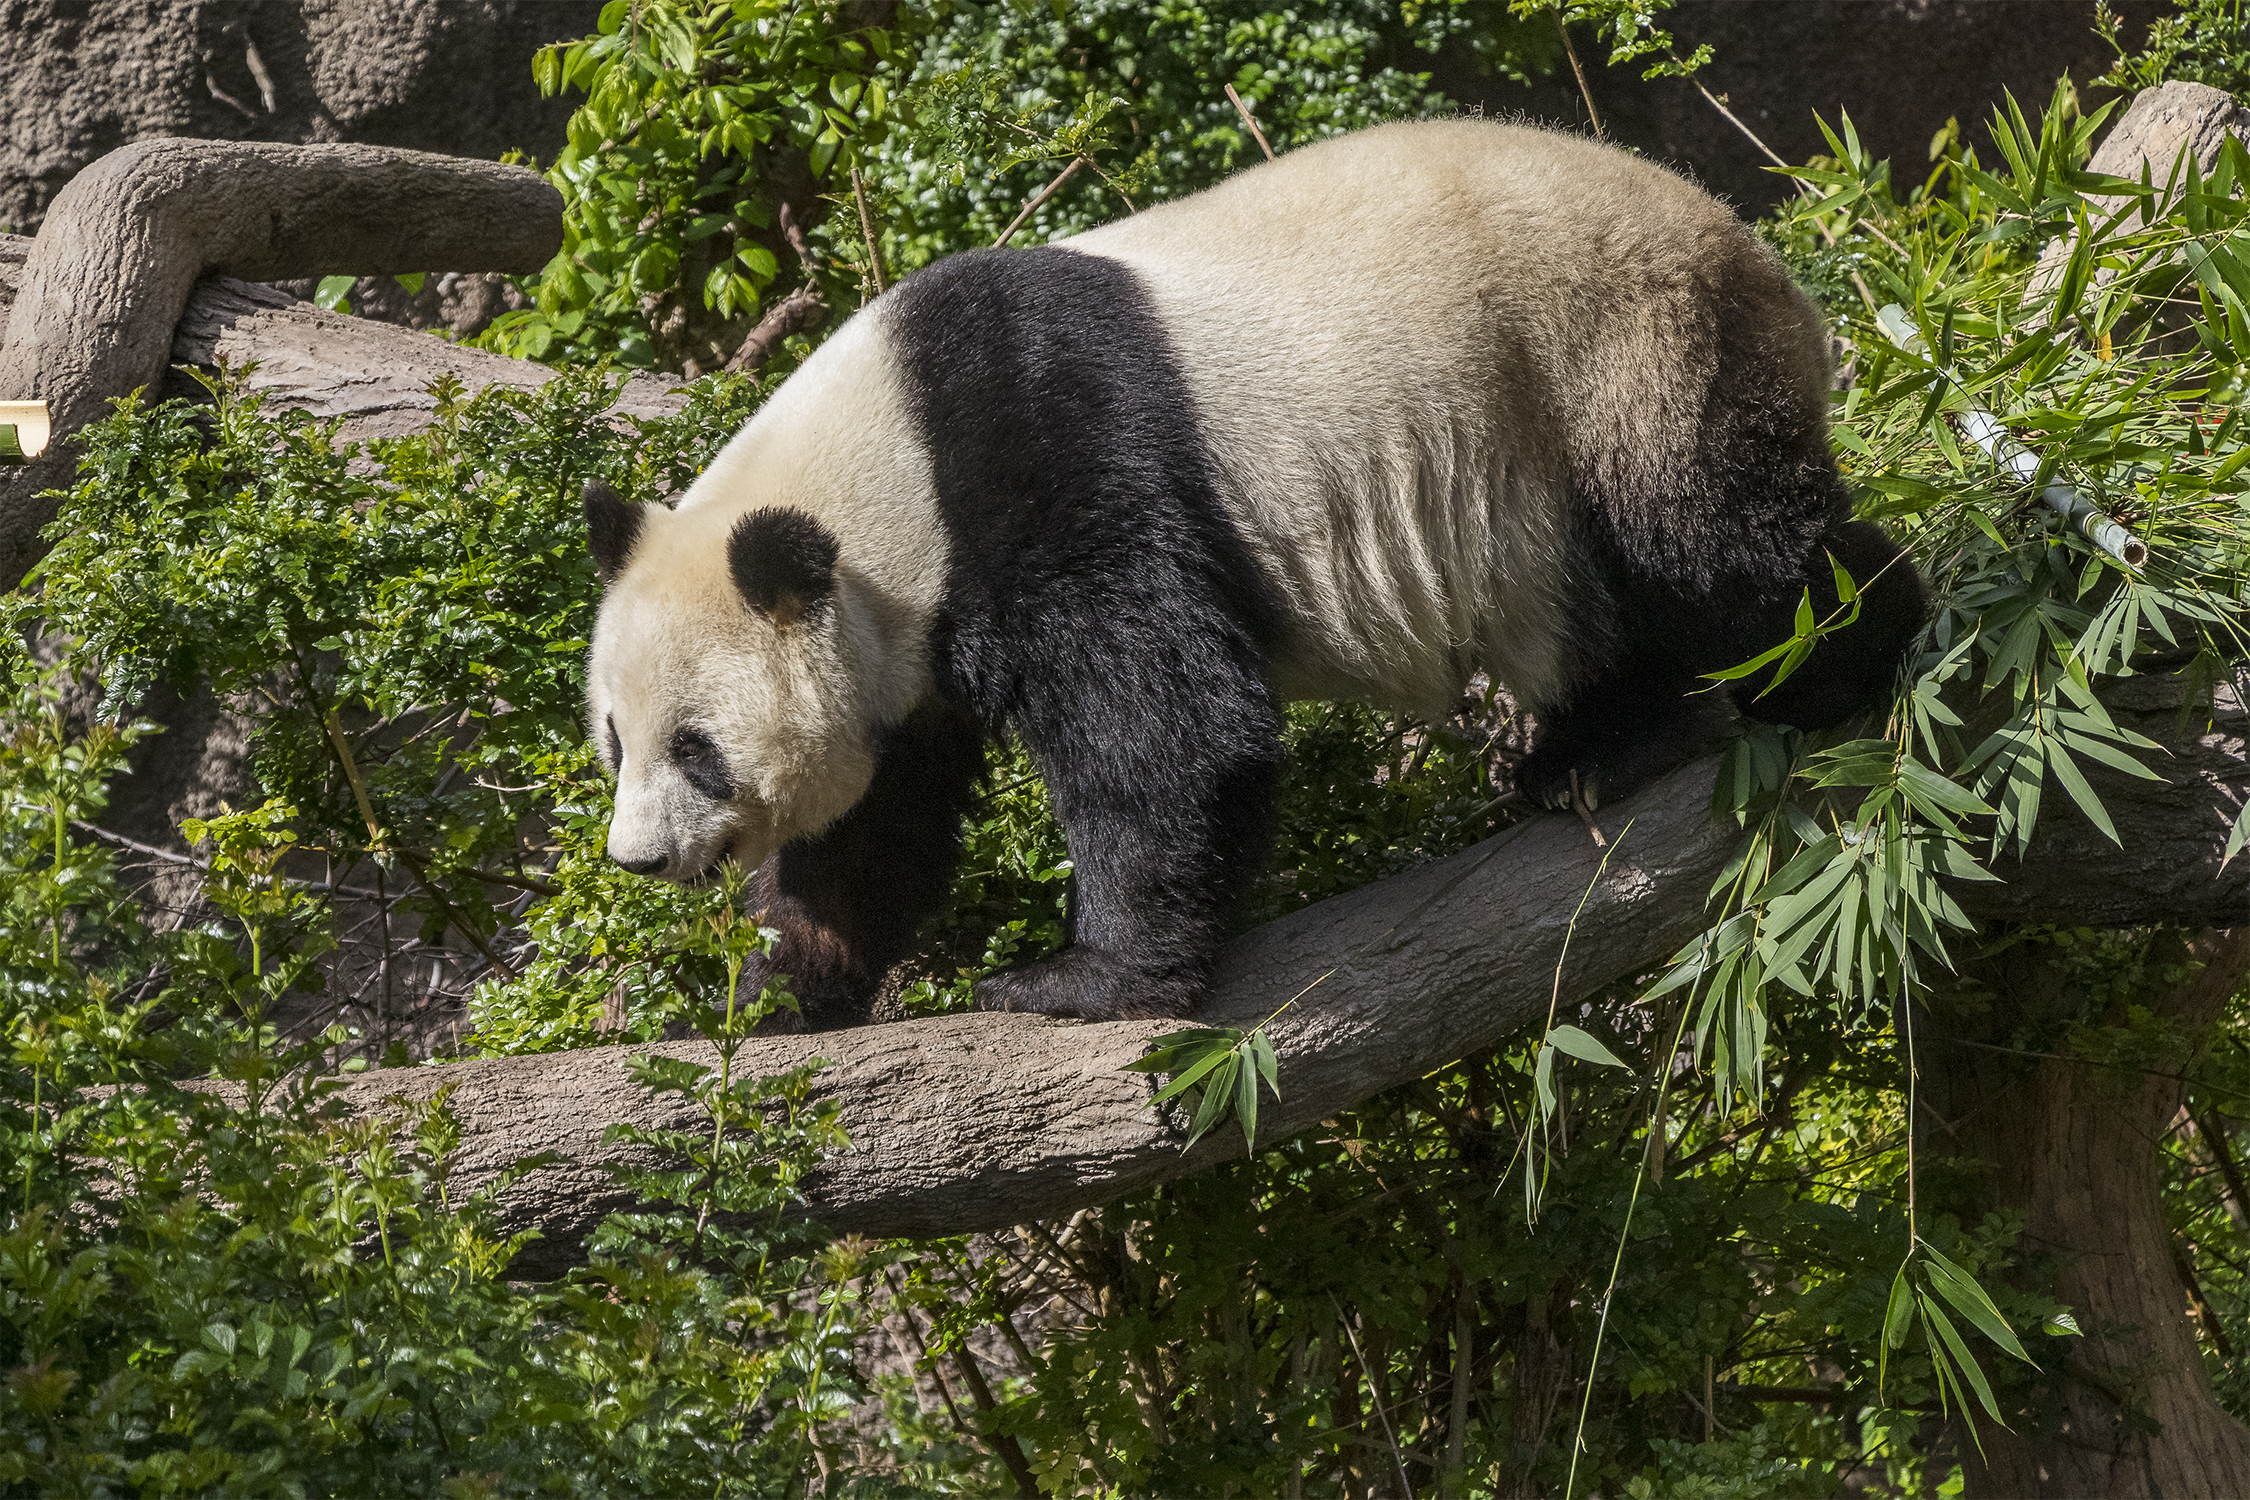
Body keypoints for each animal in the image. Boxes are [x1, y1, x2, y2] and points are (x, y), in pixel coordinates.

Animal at [576, 120, 1917, 1034]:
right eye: (614, 742)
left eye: (696, 748)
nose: (637, 859)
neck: (891, 460)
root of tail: (1772, 267)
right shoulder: (905, 646)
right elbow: (878, 817)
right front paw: (780, 985)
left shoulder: (1053, 457)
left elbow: (1166, 721)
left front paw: (1080, 979)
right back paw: (1598, 747)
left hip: (1614, 351)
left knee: (1720, 548)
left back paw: (1851, 657)